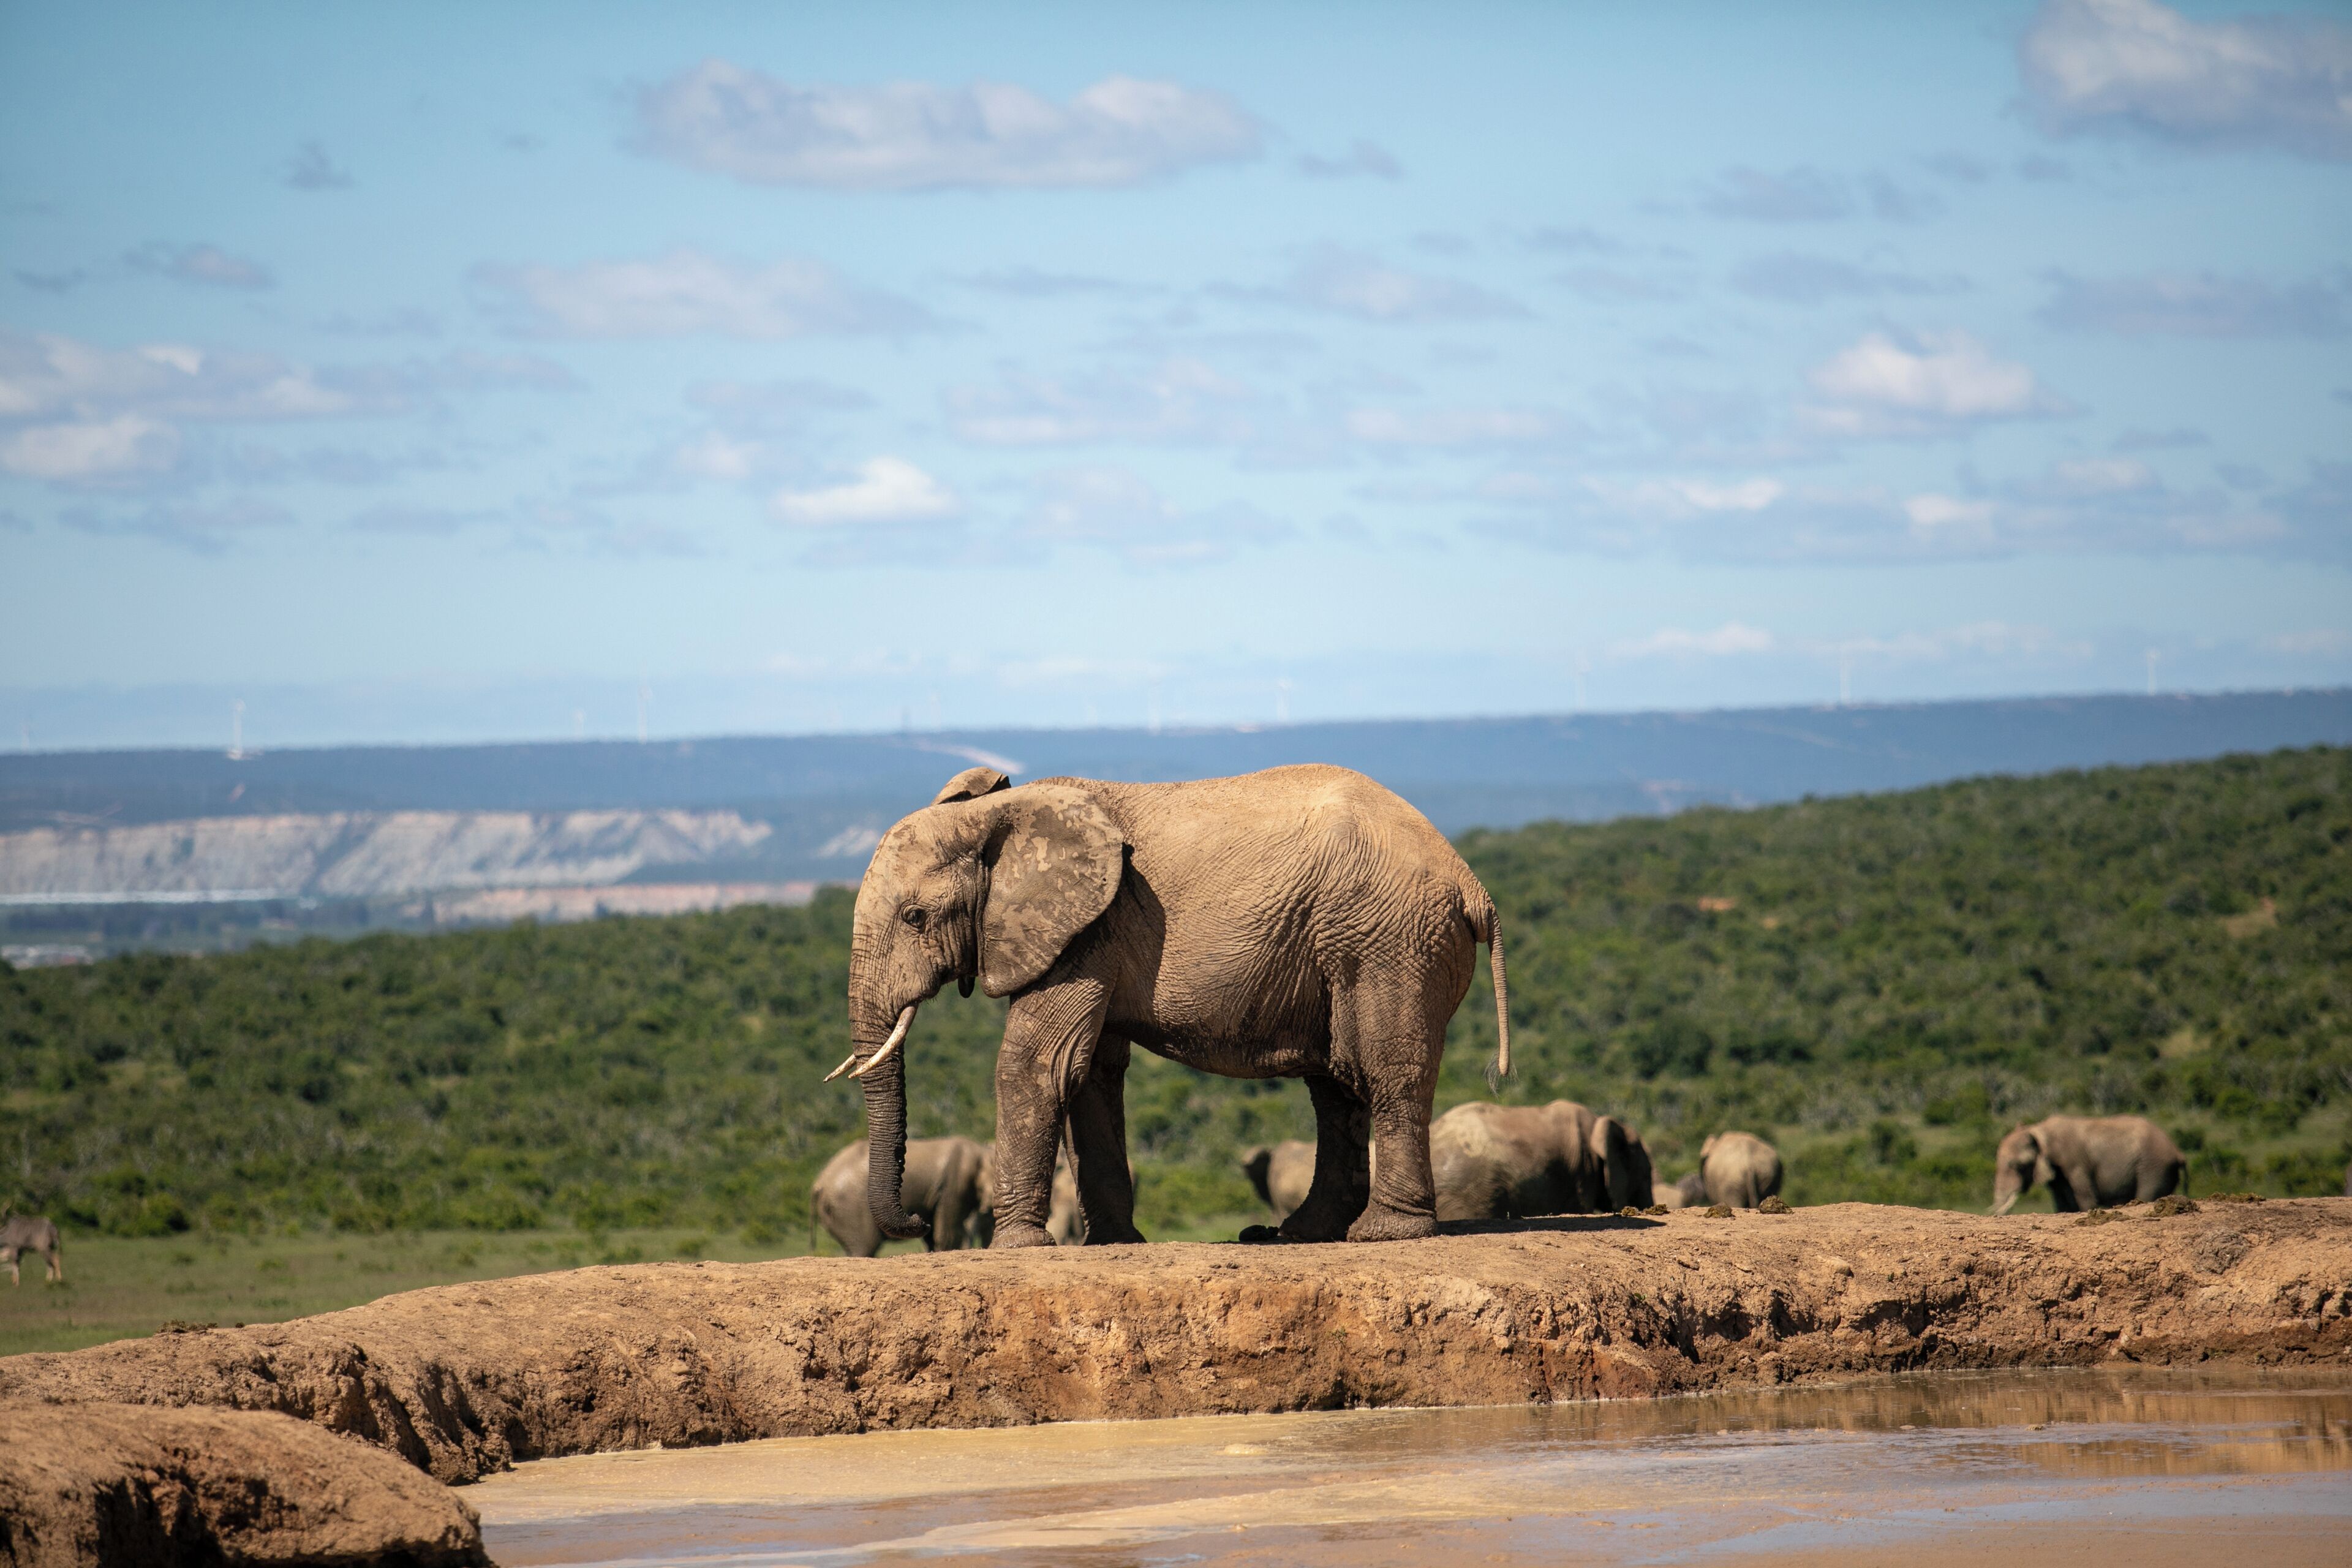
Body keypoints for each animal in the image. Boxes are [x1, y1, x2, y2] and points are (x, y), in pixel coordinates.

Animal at [810, 1135, 992, 1256]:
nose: (917, 1217)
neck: (982, 1150)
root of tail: (818, 1184)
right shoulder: (954, 1185)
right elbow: (947, 1231)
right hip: (850, 1207)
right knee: (865, 1245)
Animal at [1993, 1115, 2184, 1214]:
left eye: (2016, 1165)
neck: (2038, 1130)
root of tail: (2177, 1151)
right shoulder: (2057, 1173)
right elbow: (2062, 1203)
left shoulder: (2075, 1163)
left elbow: (2085, 1199)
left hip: (2154, 1168)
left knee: (2148, 1194)